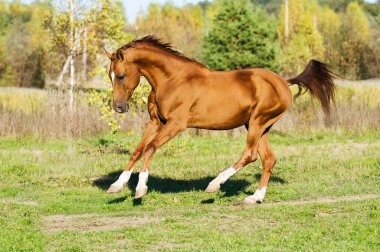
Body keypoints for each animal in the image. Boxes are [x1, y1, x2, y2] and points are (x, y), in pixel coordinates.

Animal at [104, 35, 332, 204]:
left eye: (122, 75)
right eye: (110, 76)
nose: (119, 107)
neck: (173, 80)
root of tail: (284, 82)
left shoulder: (176, 124)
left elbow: (150, 148)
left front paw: (140, 188)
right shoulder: (155, 122)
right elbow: (137, 150)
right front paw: (116, 185)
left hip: (258, 122)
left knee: (250, 155)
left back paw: (214, 185)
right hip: (259, 126)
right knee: (268, 159)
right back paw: (255, 198)